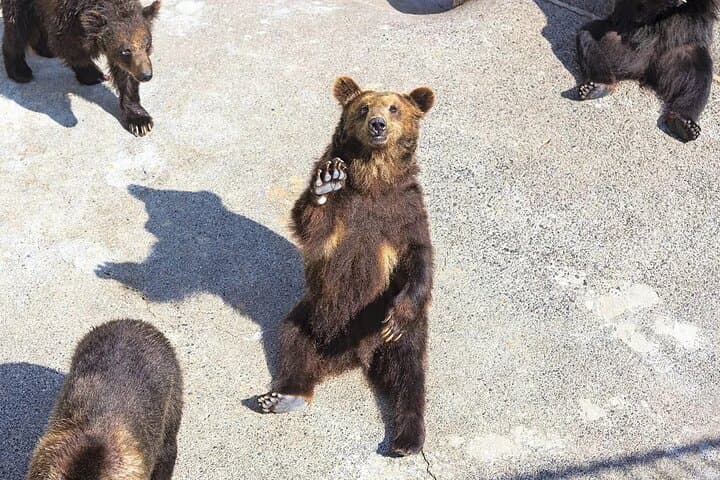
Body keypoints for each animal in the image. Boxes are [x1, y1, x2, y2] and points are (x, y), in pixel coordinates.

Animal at [2, 0, 161, 136]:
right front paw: (94, 74)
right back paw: (20, 70)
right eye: (126, 51)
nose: (146, 75)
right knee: (16, 25)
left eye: (147, 44)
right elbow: (67, 47)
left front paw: (140, 121)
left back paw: (44, 49)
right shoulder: (65, 18)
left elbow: (125, 76)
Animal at [256, 76, 436, 457]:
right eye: (364, 107)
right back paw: (285, 396)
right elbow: (311, 223)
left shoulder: (405, 211)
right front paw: (326, 182)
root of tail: (355, 355)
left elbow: (419, 257)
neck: (374, 180)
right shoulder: (344, 215)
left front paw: (399, 315)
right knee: (294, 343)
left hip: (392, 328)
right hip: (311, 316)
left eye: (394, 108)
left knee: (409, 372)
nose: (378, 124)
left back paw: (406, 439)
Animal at [575, 0, 717, 142]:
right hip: (616, 41)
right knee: (589, 38)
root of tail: (645, 68)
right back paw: (597, 86)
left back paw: (684, 124)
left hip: (682, 53)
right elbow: (635, 7)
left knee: (698, 80)